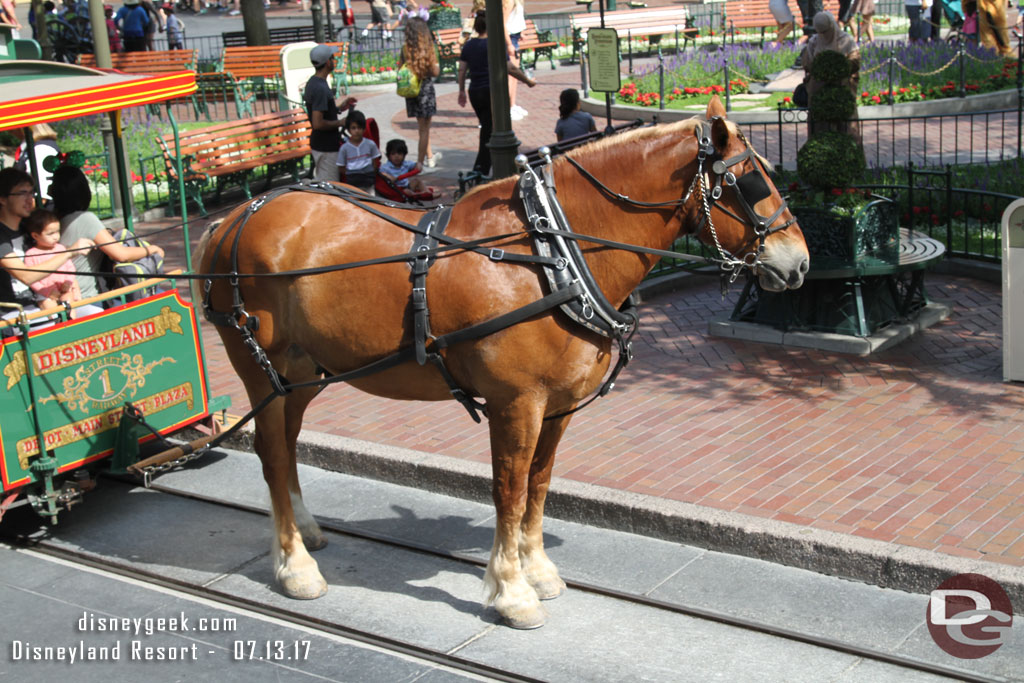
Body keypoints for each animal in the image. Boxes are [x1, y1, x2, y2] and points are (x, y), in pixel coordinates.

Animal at [197, 97, 806, 630]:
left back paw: (304, 531)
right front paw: (512, 592)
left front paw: (538, 571)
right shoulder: (517, 403)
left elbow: (539, 484)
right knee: (272, 451)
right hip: (259, 365)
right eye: (752, 180)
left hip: (299, 376)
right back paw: (295, 565)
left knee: (286, 442)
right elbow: (508, 492)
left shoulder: (556, 407)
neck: (551, 254)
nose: (799, 262)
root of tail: (234, 218)